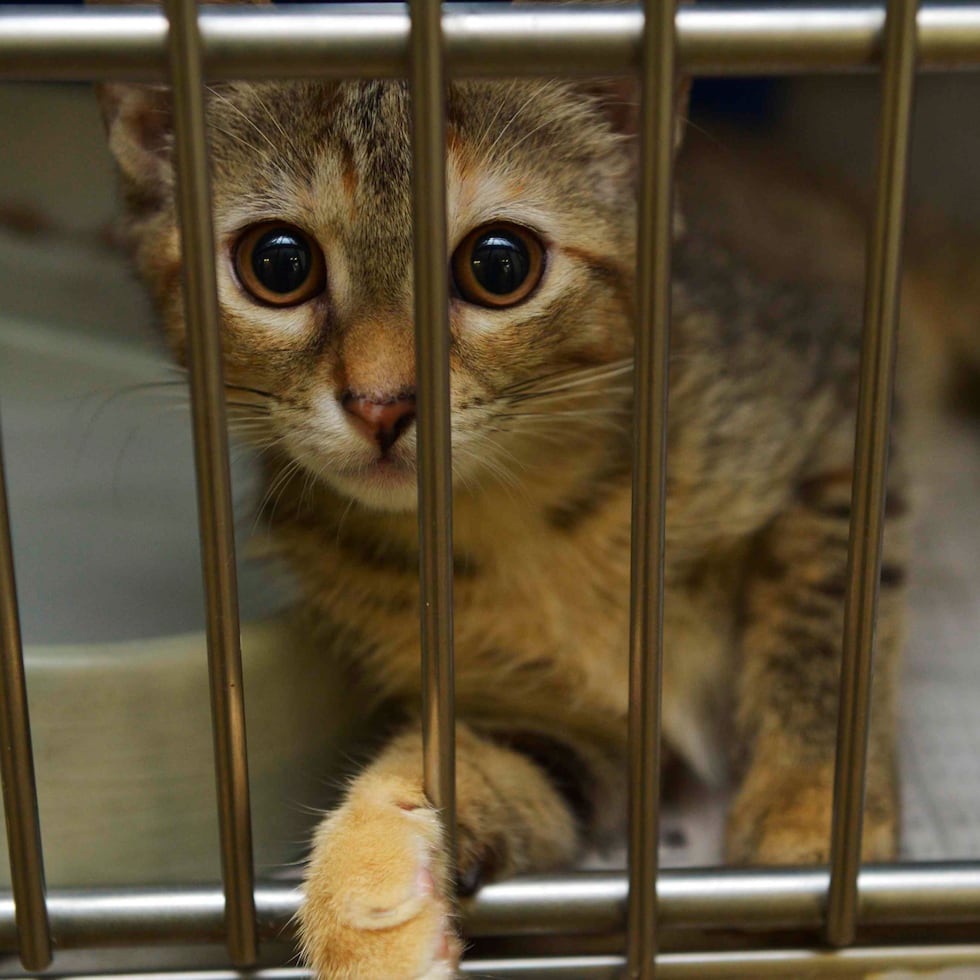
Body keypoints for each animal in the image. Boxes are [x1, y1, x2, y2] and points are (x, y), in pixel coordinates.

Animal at [97, 9, 912, 980]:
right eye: (279, 263)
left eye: (498, 264)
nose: (382, 403)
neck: (524, 512)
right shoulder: (554, 724)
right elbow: (483, 761)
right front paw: (367, 889)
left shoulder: (840, 432)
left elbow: (825, 634)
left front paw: (807, 830)